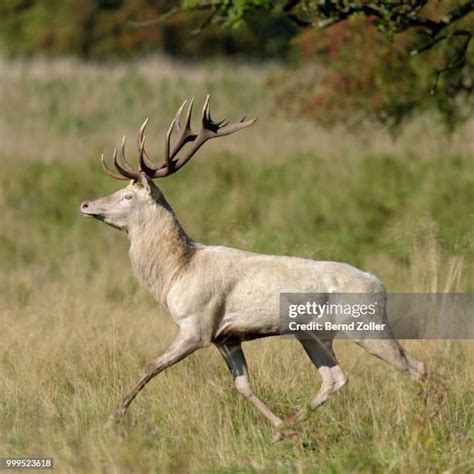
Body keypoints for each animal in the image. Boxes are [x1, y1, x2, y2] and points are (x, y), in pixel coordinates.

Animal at [80, 95, 426, 440]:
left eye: (127, 196)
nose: (85, 204)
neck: (176, 273)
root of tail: (378, 284)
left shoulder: (197, 326)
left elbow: (151, 366)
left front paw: (112, 418)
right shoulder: (226, 337)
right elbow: (243, 386)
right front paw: (280, 428)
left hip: (367, 325)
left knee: (415, 366)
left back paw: (426, 420)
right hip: (313, 334)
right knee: (335, 378)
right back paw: (291, 425)